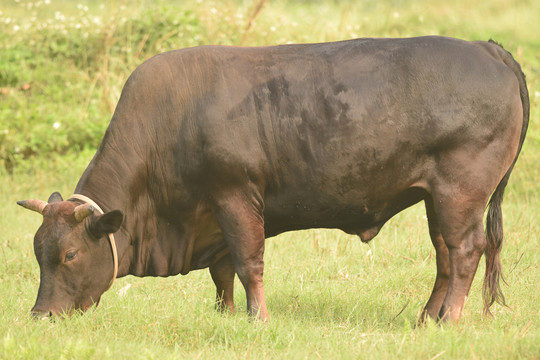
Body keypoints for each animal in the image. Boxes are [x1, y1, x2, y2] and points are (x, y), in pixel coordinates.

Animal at [16, 37, 528, 324]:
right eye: (38, 252)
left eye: (70, 254)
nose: (40, 316)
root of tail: (488, 48)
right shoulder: (213, 216)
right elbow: (223, 271)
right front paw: (225, 315)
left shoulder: (236, 196)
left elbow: (248, 263)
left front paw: (258, 319)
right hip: (435, 198)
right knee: (444, 254)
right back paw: (427, 318)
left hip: (461, 191)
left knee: (466, 251)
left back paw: (452, 318)